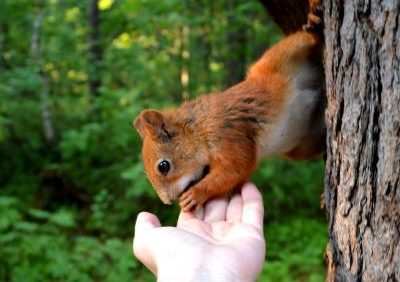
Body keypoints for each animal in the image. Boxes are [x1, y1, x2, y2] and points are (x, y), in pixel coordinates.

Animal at [133, 0, 324, 212]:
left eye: (163, 166)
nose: (168, 201)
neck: (198, 128)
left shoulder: (227, 133)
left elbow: (235, 168)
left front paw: (195, 194)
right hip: (301, 146)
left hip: (283, 55)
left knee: (307, 39)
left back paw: (314, 20)